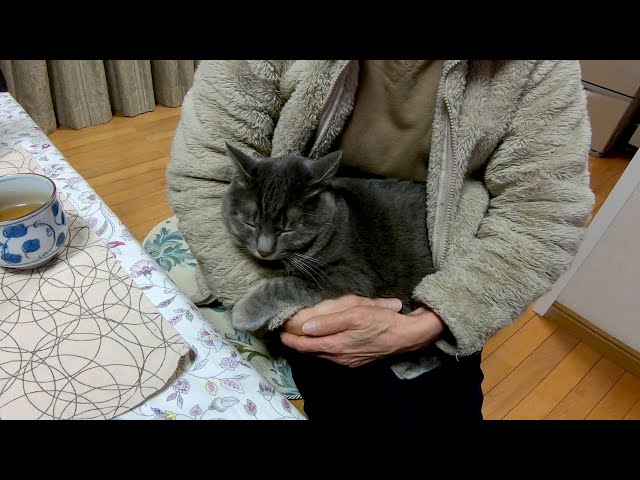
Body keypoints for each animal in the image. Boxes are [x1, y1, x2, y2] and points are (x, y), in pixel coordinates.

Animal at [222, 144, 438, 334]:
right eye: (251, 224)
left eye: (287, 230)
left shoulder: (349, 274)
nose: (264, 251)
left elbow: (286, 284)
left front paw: (244, 312)